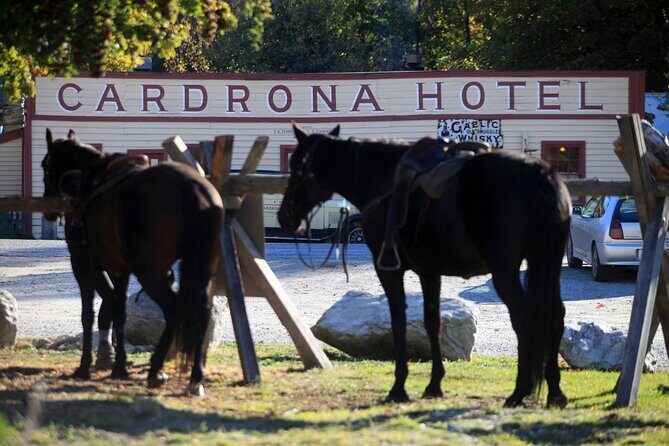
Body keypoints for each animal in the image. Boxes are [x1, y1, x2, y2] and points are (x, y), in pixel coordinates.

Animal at [42, 129, 223, 395]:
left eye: (45, 165)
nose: (49, 210)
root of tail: (190, 186)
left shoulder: (83, 265)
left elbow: (88, 314)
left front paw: (84, 367)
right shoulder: (121, 270)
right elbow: (119, 312)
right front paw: (119, 367)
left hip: (150, 273)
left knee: (174, 309)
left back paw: (156, 369)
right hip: (201, 270)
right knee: (202, 312)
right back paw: (195, 377)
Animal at [278, 124, 571, 408]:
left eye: (296, 166)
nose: (284, 216)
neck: (382, 181)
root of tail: (541, 174)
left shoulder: (389, 269)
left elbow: (399, 321)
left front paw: (398, 388)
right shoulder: (429, 272)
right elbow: (432, 322)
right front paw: (434, 385)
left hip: (505, 271)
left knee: (525, 318)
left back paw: (520, 391)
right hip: (547, 261)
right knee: (554, 315)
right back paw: (555, 392)